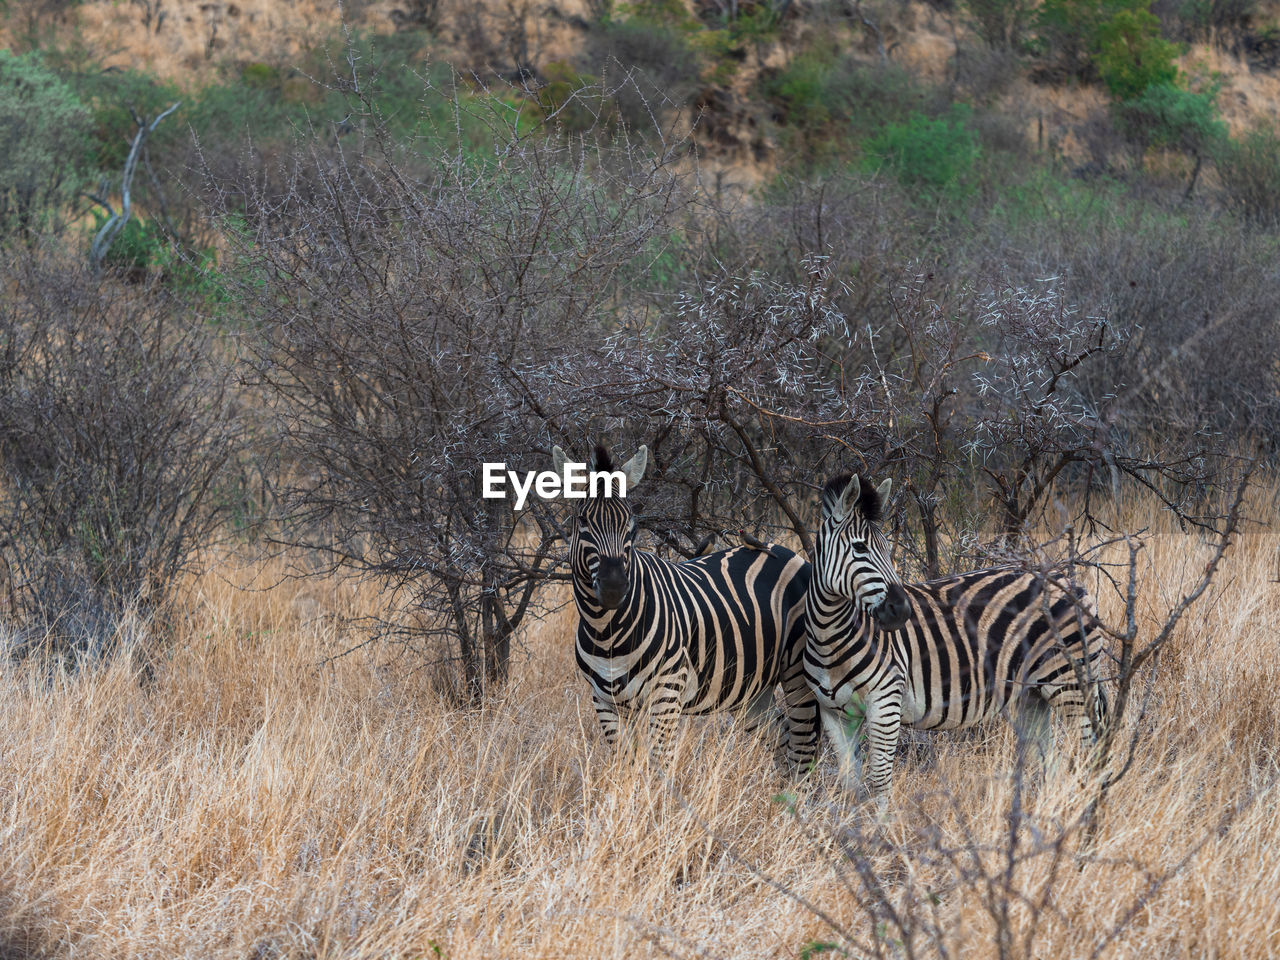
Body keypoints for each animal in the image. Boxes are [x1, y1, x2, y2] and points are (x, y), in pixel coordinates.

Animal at [552, 442, 819, 768]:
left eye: (632, 524)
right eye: (582, 521)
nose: (615, 588)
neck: (607, 632)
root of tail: (788, 553)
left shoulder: (667, 691)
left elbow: (660, 763)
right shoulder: (604, 700)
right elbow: (624, 763)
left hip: (798, 672)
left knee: (803, 747)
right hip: (751, 688)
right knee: (782, 739)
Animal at [803, 471, 1105, 798]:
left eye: (886, 546)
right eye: (859, 548)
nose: (901, 610)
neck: (829, 639)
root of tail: (1067, 580)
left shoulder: (885, 701)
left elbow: (880, 781)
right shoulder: (833, 714)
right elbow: (851, 783)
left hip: (1071, 684)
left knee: (1091, 753)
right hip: (1032, 695)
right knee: (1051, 764)